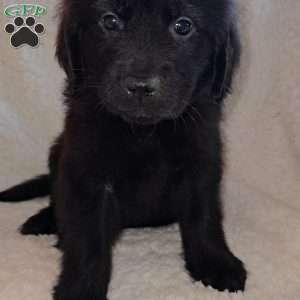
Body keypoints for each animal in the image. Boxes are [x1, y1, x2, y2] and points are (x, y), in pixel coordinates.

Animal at [0, 0, 246, 300]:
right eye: (110, 21)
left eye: (183, 26)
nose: (140, 86)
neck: (144, 132)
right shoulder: (87, 172)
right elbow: (86, 238)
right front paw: (81, 289)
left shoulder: (201, 163)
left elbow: (204, 219)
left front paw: (215, 263)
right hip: (58, 152)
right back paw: (44, 220)